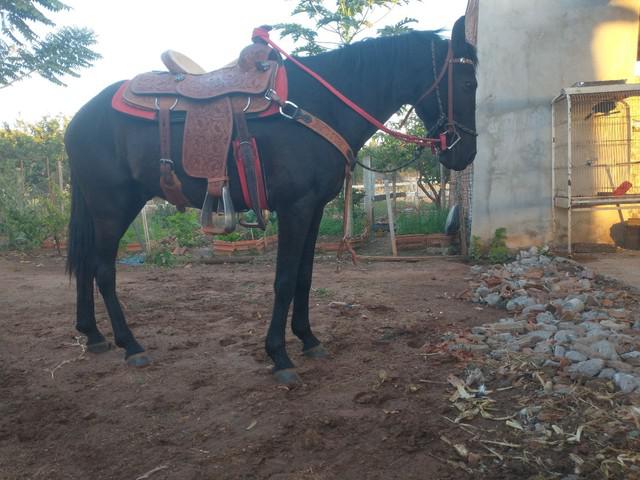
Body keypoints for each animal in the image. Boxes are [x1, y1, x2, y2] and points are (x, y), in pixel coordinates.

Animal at [66, 15, 476, 382]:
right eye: (468, 81)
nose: (465, 154)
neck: (318, 106)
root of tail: (77, 119)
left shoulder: (313, 209)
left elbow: (304, 277)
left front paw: (308, 339)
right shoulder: (295, 208)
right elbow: (284, 280)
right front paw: (279, 356)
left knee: (86, 266)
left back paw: (94, 334)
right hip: (112, 207)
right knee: (103, 271)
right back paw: (131, 345)